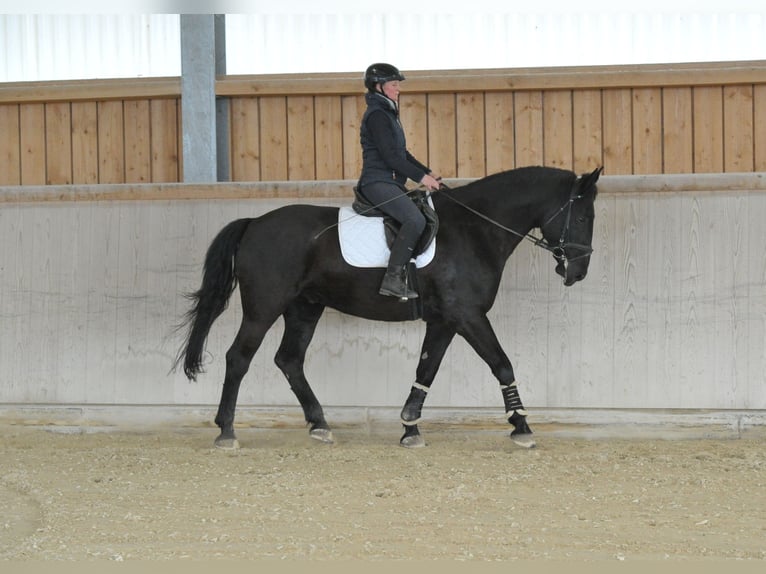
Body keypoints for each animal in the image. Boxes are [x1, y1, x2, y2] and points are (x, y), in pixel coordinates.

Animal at [174, 165, 602, 450]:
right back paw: (227, 431)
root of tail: (255, 222)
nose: (579, 271)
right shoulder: (468, 315)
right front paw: (521, 427)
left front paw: (410, 427)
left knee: (289, 360)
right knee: (239, 358)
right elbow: (502, 364)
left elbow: (426, 370)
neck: (474, 230)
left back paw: (319, 424)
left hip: (304, 308)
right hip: (263, 308)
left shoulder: (446, 321)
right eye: (583, 215)